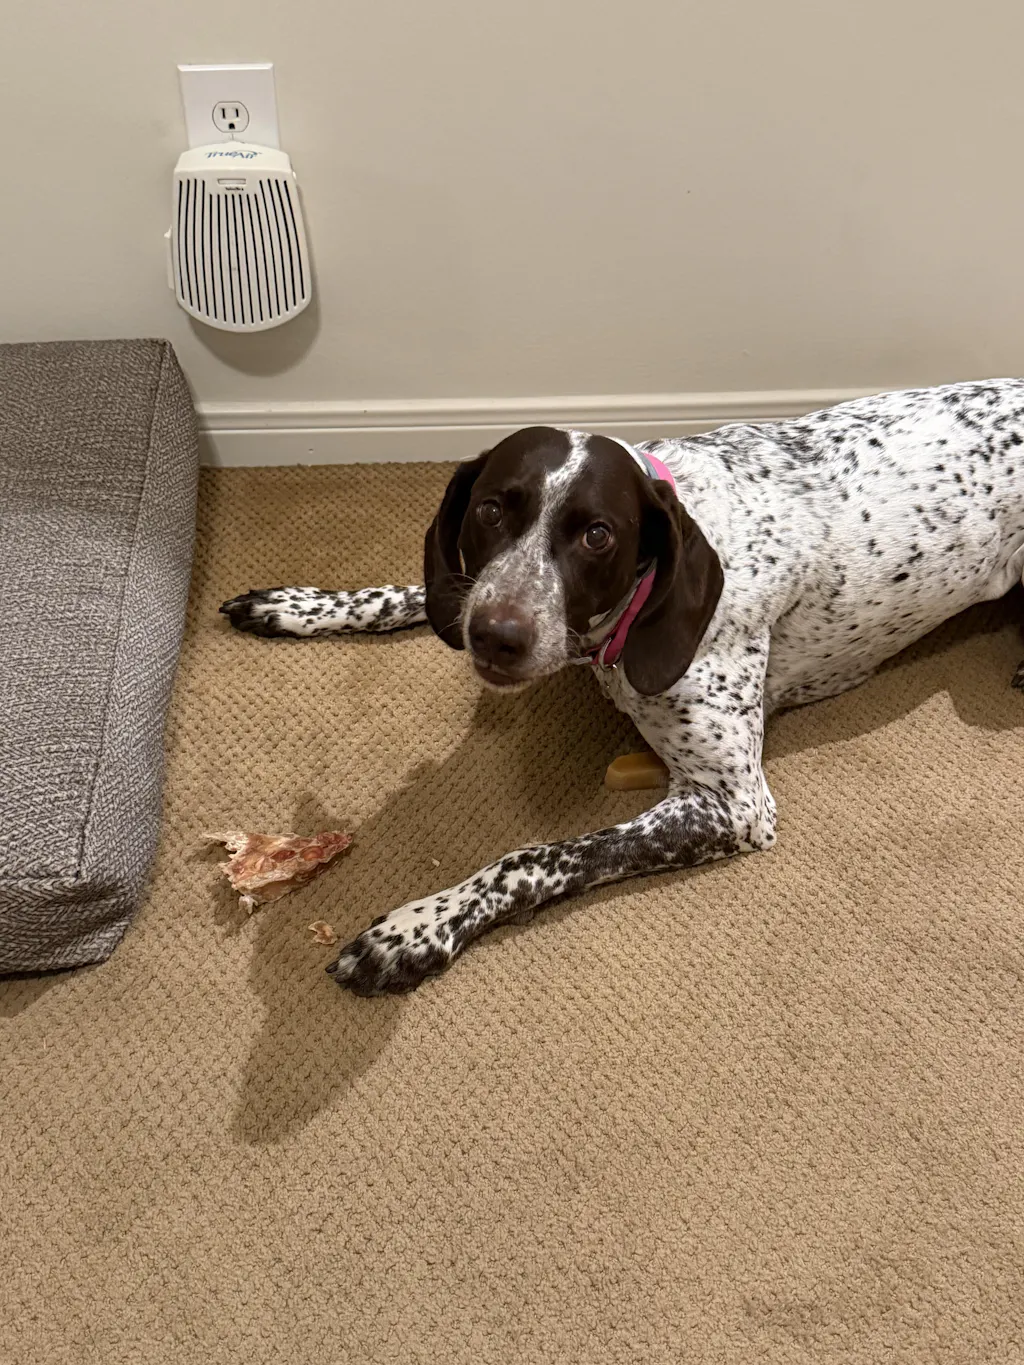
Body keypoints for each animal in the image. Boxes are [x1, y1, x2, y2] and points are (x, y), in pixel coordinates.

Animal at [221, 380, 1024, 995]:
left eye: (597, 534)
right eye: (491, 509)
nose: (498, 636)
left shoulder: (731, 802)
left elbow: (532, 857)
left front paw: (417, 928)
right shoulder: (473, 593)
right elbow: (424, 590)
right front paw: (303, 605)